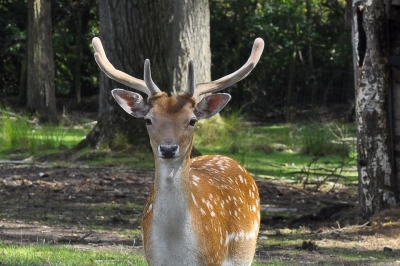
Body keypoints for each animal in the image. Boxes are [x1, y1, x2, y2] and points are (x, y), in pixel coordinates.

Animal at [92, 35, 264, 266]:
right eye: (148, 120)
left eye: (192, 120)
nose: (168, 148)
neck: (177, 250)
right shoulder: (152, 259)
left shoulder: (212, 259)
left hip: (245, 251)